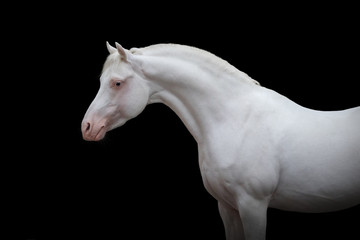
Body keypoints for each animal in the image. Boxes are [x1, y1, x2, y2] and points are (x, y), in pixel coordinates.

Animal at [81, 42, 360, 239]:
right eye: (101, 81)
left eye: (117, 83)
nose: (87, 127)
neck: (236, 121)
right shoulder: (227, 207)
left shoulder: (253, 206)